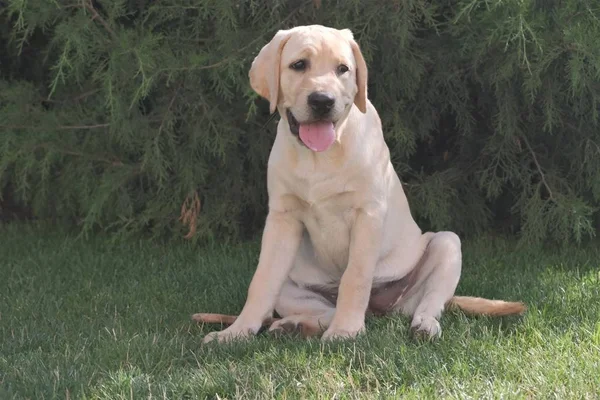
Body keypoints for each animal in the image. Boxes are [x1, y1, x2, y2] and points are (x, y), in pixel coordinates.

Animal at [193, 25, 524, 344]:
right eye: (298, 65)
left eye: (343, 69)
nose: (322, 101)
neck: (320, 157)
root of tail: (378, 310)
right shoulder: (281, 219)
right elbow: (262, 281)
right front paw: (236, 332)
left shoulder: (368, 214)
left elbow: (355, 276)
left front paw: (346, 331)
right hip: (293, 281)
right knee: (317, 309)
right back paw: (293, 325)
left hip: (446, 245)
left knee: (429, 302)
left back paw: (422, 326)